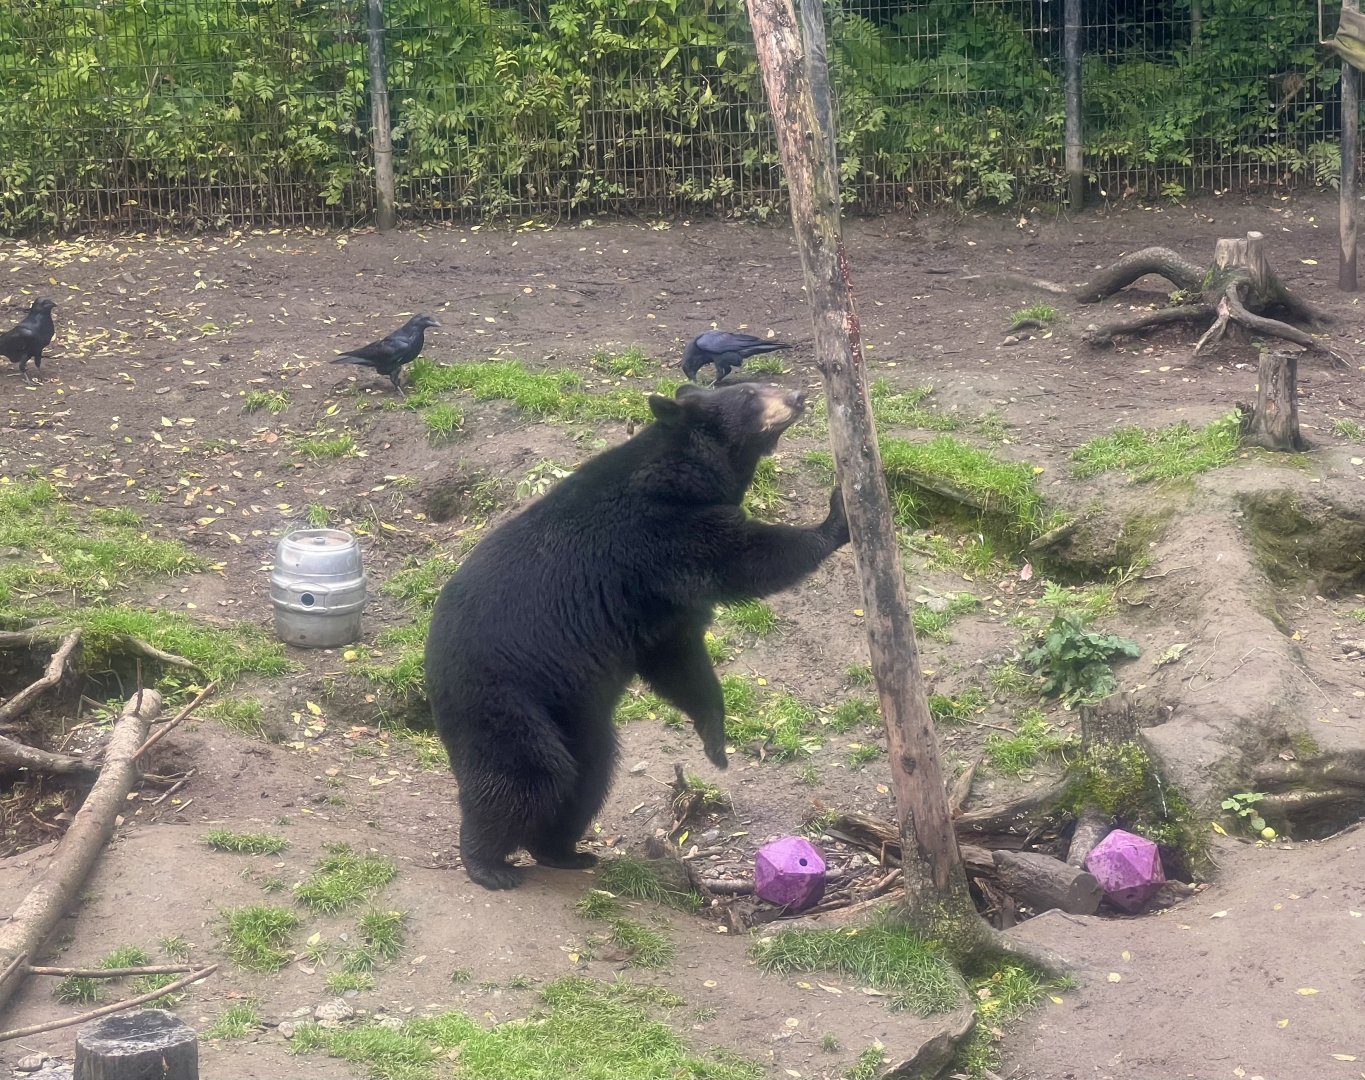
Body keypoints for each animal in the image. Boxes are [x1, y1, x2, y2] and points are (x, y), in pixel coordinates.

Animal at [425, 382, 850, 890]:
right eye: (749, 392)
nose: (799, 395)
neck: (682, 473)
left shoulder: (654, 602)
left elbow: (679, 661)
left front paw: (715, 742)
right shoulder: (660, 537)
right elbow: (748, 558)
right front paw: (837, 516)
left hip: (573, 710)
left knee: (588, 775)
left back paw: (562, 851)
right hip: (504, 696)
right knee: (528, 772)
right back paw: (488, 862)